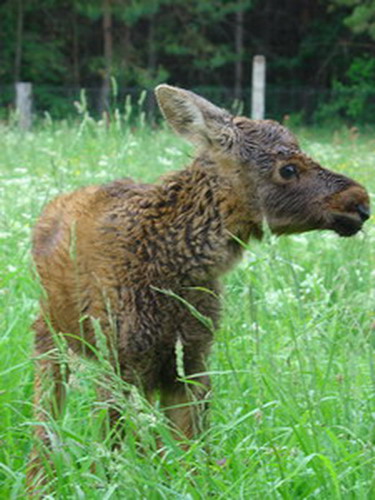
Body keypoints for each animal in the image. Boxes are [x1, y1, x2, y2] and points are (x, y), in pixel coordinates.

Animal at [28, 87, 370, 480]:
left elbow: (194, 455)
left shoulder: (191, 359)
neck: (170, 263)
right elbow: (110, 454)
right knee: (44, 425)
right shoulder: (118, 359)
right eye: (288, 169)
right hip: (51, 338)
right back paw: (37, 482)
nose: (360, 203)